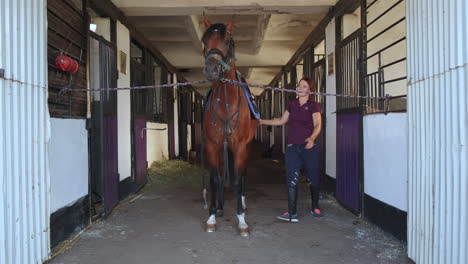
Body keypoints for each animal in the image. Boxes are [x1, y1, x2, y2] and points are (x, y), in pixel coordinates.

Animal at [202, 16, 260, 236]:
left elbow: (238, 180)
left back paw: (242, 203)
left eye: (227, 41)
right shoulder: (213, 145)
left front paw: (241, 220)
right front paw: (211, 216)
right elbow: (215, 178)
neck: (227, 103)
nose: (211, 70)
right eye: (204, 40)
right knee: (220, 174)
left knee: (241, 175)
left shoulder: (241, 146)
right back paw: (219, 207)